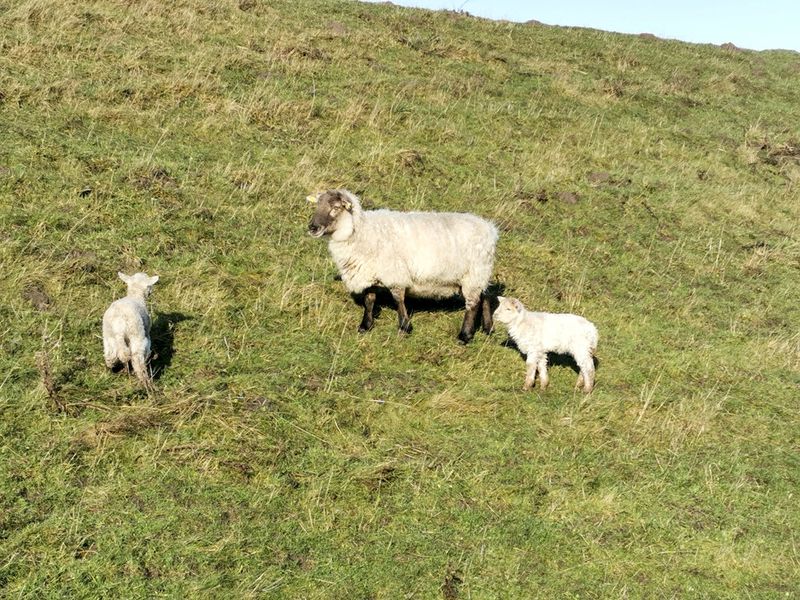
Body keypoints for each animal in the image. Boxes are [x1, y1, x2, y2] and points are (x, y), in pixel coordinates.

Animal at [304, 190, 496, 344]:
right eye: (317, 205)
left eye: (336, 207)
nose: (312, 227)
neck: (360, 231)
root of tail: (489, 229)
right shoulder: (369, 272)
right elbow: (369, 299)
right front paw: (365, 326)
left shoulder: (394, 273)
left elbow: (398, 299)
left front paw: (404, 327)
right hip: (480, 274)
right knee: (485, 296)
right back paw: (487, 328)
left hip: (474, 273)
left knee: (473, 304)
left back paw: (465, 336)